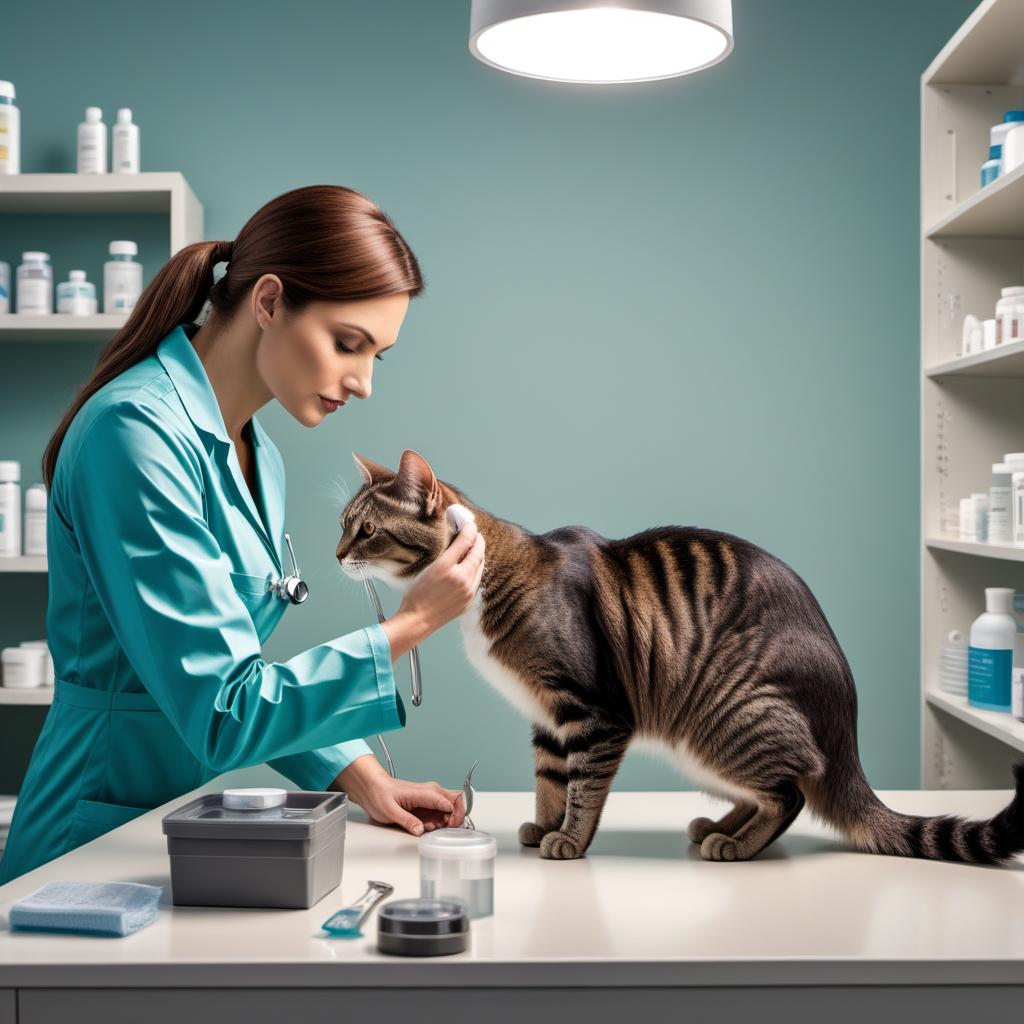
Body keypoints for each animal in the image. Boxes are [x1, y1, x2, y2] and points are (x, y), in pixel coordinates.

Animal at [337, 448, 1024, 864]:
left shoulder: (595, 712)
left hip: (726, 714)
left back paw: (738, 845)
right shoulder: (549, 720)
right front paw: (542, 826)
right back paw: (720, 827)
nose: (337, 553)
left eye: (366, 530)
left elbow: (583, 787)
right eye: (343, 524)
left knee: (792, 791)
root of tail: (843, 715)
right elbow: (549, 781)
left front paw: (570, 840)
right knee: (770, 789)